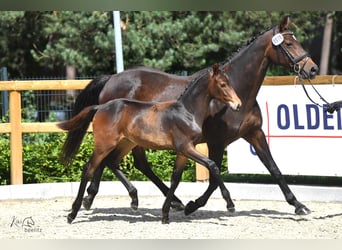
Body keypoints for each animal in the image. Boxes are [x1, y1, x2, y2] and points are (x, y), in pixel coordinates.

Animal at [58, 64, 240, 223]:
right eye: (223, 84)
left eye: (230, 82)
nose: (238, 104)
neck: (187, 112)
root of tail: (100, 107)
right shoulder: (186, 147)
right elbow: (212, 165)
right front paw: (230, 204)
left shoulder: (183, 151)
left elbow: (175, 179)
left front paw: (166, 214)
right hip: (104, 145)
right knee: (89, 168)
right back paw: (73, 213)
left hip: (125, 143)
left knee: (112, 162)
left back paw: (133, 198)